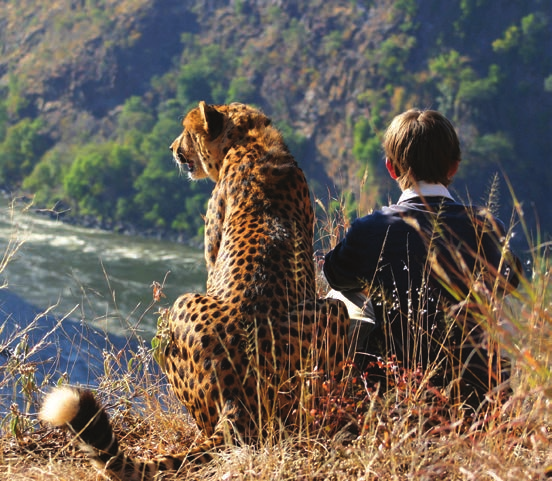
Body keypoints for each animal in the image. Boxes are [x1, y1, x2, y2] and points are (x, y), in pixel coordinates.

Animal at [40, 102, 350, 480]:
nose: (172, 148)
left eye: (187, 132)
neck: (250, 140)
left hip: (181, 309)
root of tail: (239, 395)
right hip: (330, 312)